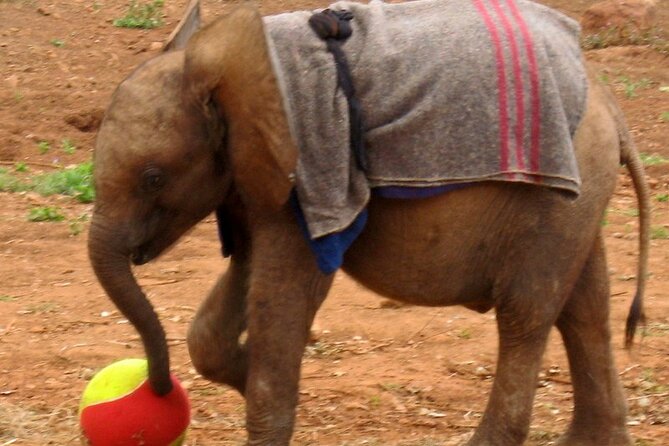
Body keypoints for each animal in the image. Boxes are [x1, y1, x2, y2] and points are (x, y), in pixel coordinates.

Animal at [87, 1, 650, 445]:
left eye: (153, 178)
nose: (155, 389)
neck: (230, 58)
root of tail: (611, 104)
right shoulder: (255, 177)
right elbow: (236, 290)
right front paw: (246, 375)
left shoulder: (309, 170)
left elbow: (282, 296)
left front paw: (259, 390)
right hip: (580, 195)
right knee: (584, 306)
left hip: (558, 190)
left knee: (526, 313)